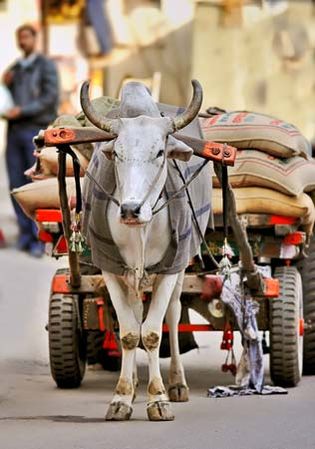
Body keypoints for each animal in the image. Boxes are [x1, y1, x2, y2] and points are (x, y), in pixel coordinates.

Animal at [80, 80, 206, 420]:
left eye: (160, 152)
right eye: (117, 153)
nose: (130, 210)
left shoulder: (170, 269)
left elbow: (152, 333)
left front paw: (159, 399)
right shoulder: (110, 269)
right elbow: (129, 332)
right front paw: (122, 397)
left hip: (181, 269)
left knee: (173, 315)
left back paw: (177, 383)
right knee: (136, 314)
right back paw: (135, 383)